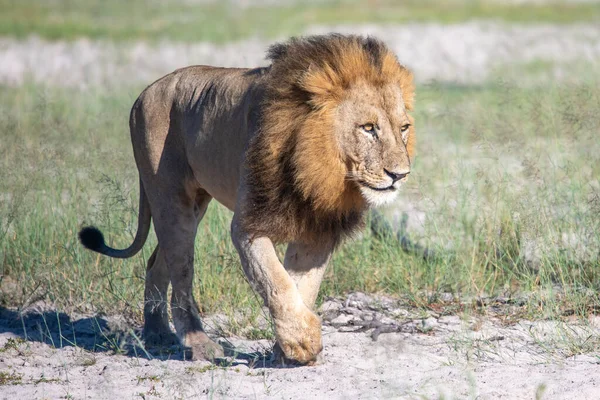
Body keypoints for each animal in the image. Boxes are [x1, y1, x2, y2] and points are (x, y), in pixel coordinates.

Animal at [78, 35, 418, 366]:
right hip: (171, 200)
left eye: (403, 128)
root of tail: (144, 93)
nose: (400, 174)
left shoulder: (316, 231)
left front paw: (287, 350)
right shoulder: (248, 226)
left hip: (193, 205)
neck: (318, 170)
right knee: (181, 273)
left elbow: (302, 287)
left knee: (156, 263)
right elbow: (276, 282)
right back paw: (198, 344)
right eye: (368, 128)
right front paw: (302, 342)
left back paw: (157, 334)